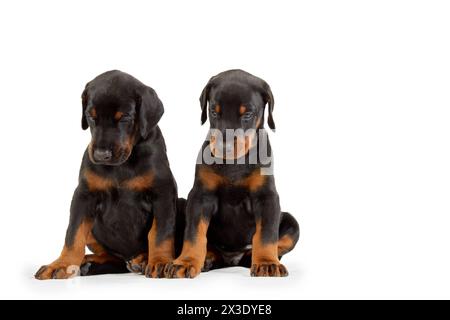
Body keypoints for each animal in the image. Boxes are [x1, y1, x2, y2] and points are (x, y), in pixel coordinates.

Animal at [165, 69, 298, 278]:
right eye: (213, 112)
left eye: (248, 114)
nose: (224, 148)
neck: (234, 165)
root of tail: (231, 260)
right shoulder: (200, 196)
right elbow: (194, 233)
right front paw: (185, 262)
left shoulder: (266, 197)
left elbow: (267, 234)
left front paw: (267, 263)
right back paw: (208, 259)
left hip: (292, 221)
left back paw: (252, 258)